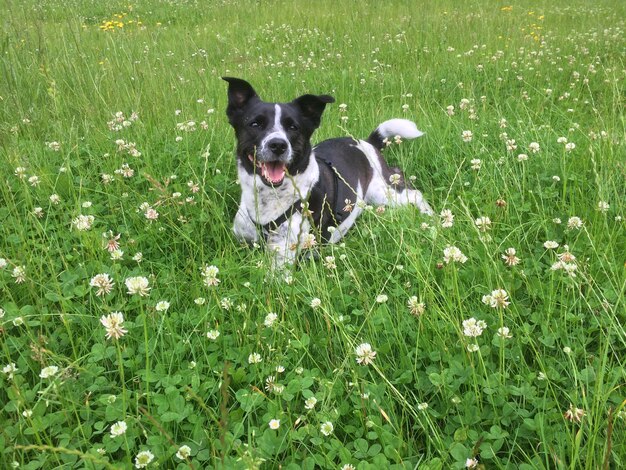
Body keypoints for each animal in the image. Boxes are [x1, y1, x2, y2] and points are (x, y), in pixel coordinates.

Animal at [222, 77, 432, 268]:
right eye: (255, 124)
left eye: (293, 127)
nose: (278, 145)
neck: (268, 199)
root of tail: (366, 142)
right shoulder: (241, 241)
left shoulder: (282, 262)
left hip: (382, 192)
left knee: (413, 193)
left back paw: (430, 216)